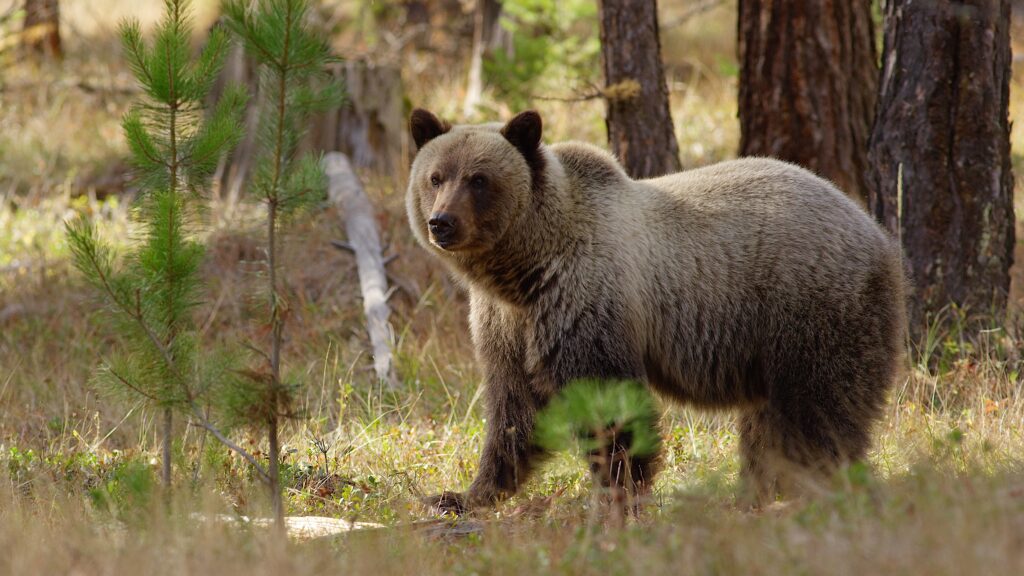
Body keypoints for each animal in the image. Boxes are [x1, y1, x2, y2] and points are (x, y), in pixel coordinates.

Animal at [406, 108, 907, 513]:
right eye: (436, 177)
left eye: (479, 179)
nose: (442, 223)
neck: (524, 268)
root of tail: (877, 233)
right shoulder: (509, 323)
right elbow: (514, 409)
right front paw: (461, 494)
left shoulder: (586, 299)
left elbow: (607, 403)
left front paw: (619, 492)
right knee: (769, 424)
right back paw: (755, 494)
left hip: (812, 310)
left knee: (818, 411)